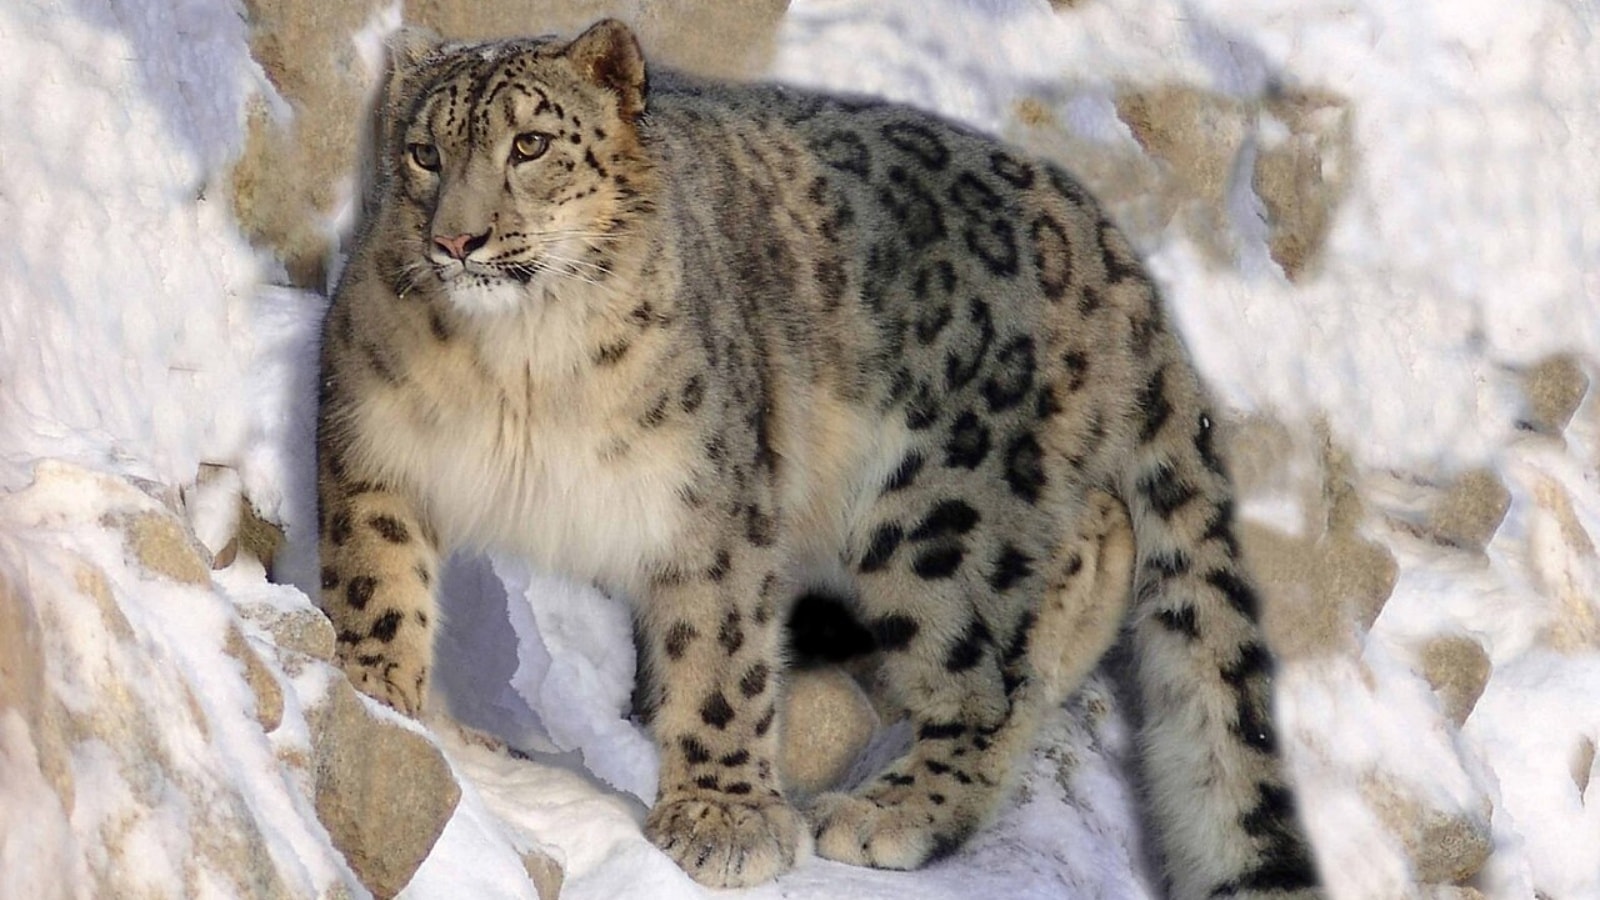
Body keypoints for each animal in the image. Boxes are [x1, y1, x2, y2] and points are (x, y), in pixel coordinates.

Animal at [314, 18, 1322, 897]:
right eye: (424, 152)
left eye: (529, 145)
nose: (457, 239)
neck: (516, 371)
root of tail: (1109, 244)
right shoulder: (371, 438)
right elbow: (375, 573)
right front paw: (381, 694)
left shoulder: (711, 499)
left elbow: (720, 655)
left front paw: (722, 819)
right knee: (1093, 551)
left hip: (948, 519)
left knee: (991, 668)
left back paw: (891, 811)